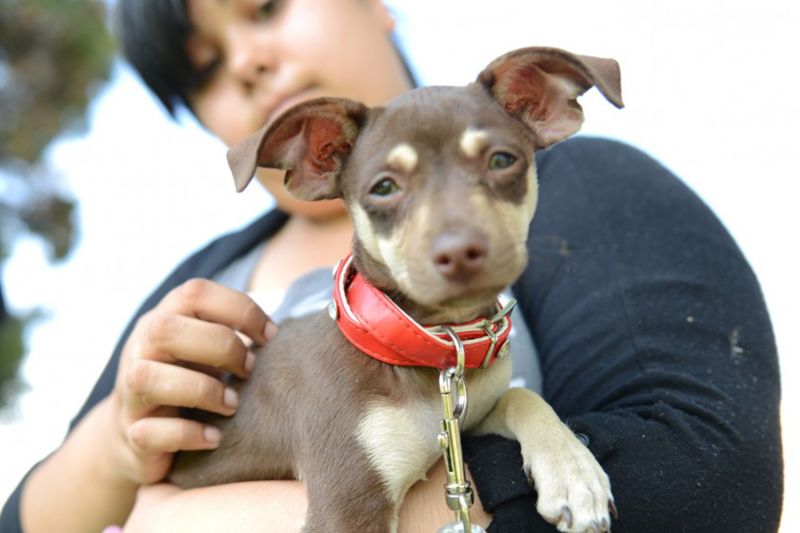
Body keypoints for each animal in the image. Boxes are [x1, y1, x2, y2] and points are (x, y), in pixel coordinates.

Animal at [172, 46, 624, 532]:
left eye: (502, 161)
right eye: (384, 187)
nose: (459, 251)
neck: (425, 345)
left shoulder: (468, 420)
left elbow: (521, 394)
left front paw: (573, 472)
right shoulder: (349, 502)